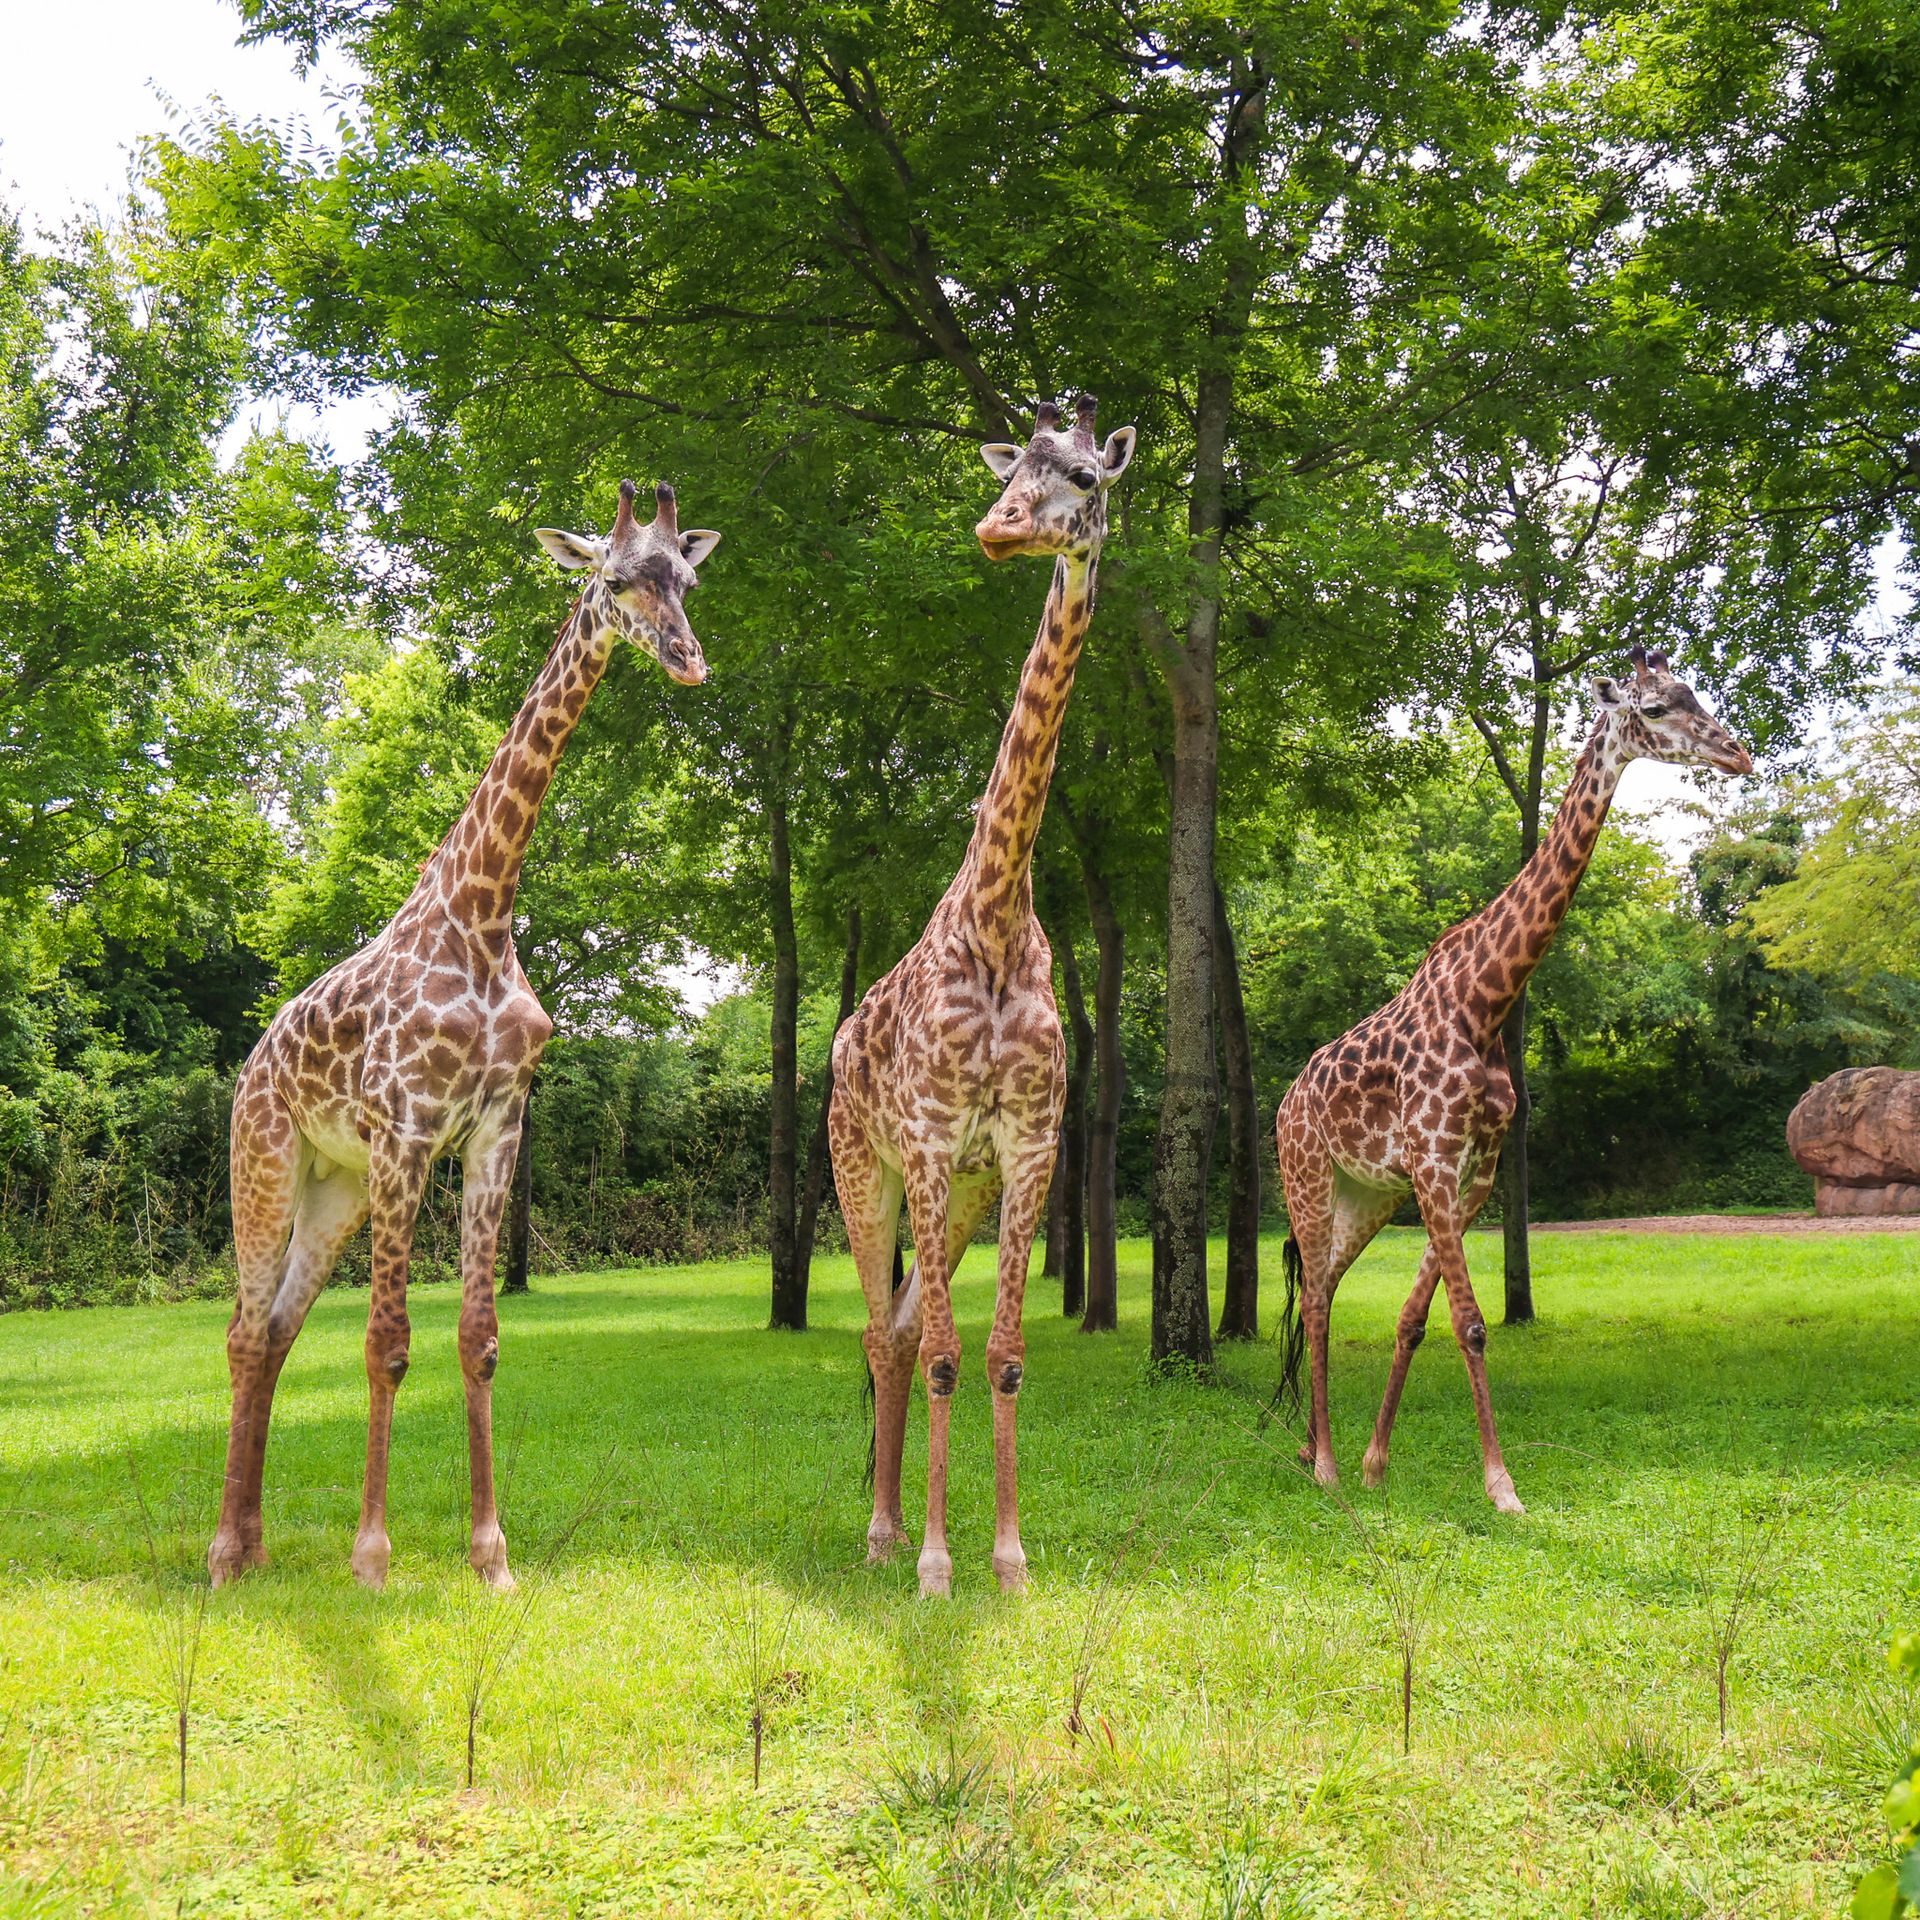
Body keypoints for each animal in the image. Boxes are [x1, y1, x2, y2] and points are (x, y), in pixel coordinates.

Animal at [207, 479, 721, 1590]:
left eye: (687, 579)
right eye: (615, 579)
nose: (687, 656)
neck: (484, 912)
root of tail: (254, 1060)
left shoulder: (494, 1130)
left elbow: (478, 1338)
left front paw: (492, 1554)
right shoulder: (407, 1131)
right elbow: (387, 1342)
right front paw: (372, 1555)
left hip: (336, 1188)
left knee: (277, 1331)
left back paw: (257, 1542)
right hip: (265, 1163)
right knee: (242, 1329)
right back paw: (223, 1554)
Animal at [828, 393, 1136, 1598]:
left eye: (1085, 480)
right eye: (1013, 473)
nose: (1000, 531)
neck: (1000, 913)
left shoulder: (1027, 1145)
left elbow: (998, 1356)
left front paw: (1004, 1559)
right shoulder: (924, 1136)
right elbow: (954, 1357)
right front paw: (932, 1564)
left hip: (956, 1193)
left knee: (910, 1331)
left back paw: (891, 1522)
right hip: (863, 1168)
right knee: (884, 1335)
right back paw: (875, 1535)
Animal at [1273, 646, 1751, 1513]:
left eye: (1694, 693)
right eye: (1657, 708)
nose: (1739, 754)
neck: (1486, 1001)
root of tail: (1287, 1100)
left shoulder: (1472, 1172)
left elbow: (1414, 1317)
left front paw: (1378, 1463)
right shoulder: (1434, 1161)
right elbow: (1469, 1323)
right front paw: (1501, 1487)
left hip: (1369, 1196)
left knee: (1323, 1287)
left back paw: (1320, 1453)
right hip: (1308, 1178)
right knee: (1318, 1302)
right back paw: (1320, 1465)